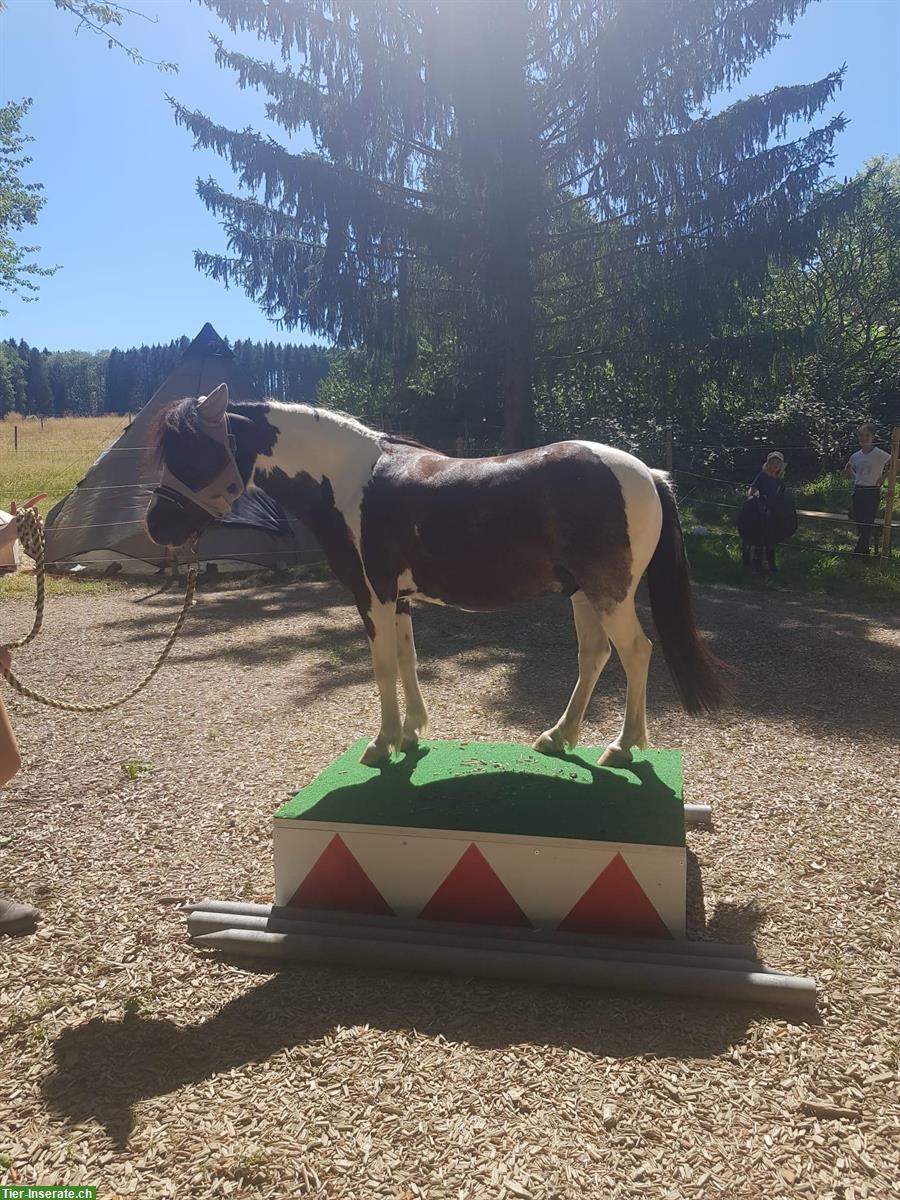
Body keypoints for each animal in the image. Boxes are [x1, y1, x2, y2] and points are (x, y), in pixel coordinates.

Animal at [146, 391, 724, 768]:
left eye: (194, 453)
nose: (155, 526)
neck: (347, 479)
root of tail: (649, 473)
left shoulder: (373, 596)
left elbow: (382, 667)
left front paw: (381, 744)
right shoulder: (398, 599)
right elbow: (407, 661)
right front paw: (410, 735)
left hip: (611, 595)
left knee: (636, 652)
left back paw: (622, 748)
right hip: (582, 593)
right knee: (595, 656)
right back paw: (559, 737)